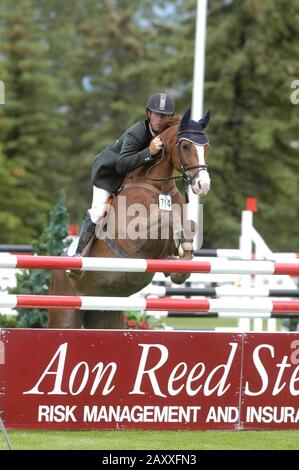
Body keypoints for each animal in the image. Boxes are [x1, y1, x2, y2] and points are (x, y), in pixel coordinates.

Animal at [48, 107, 211, 328]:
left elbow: (190, 226)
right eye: (185, 146)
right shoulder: (135, 238)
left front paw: (179, 265)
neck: (159, 186)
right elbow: (166, 217)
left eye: (206, 147)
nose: (203, 185)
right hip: (64, 311)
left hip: (106, 313)